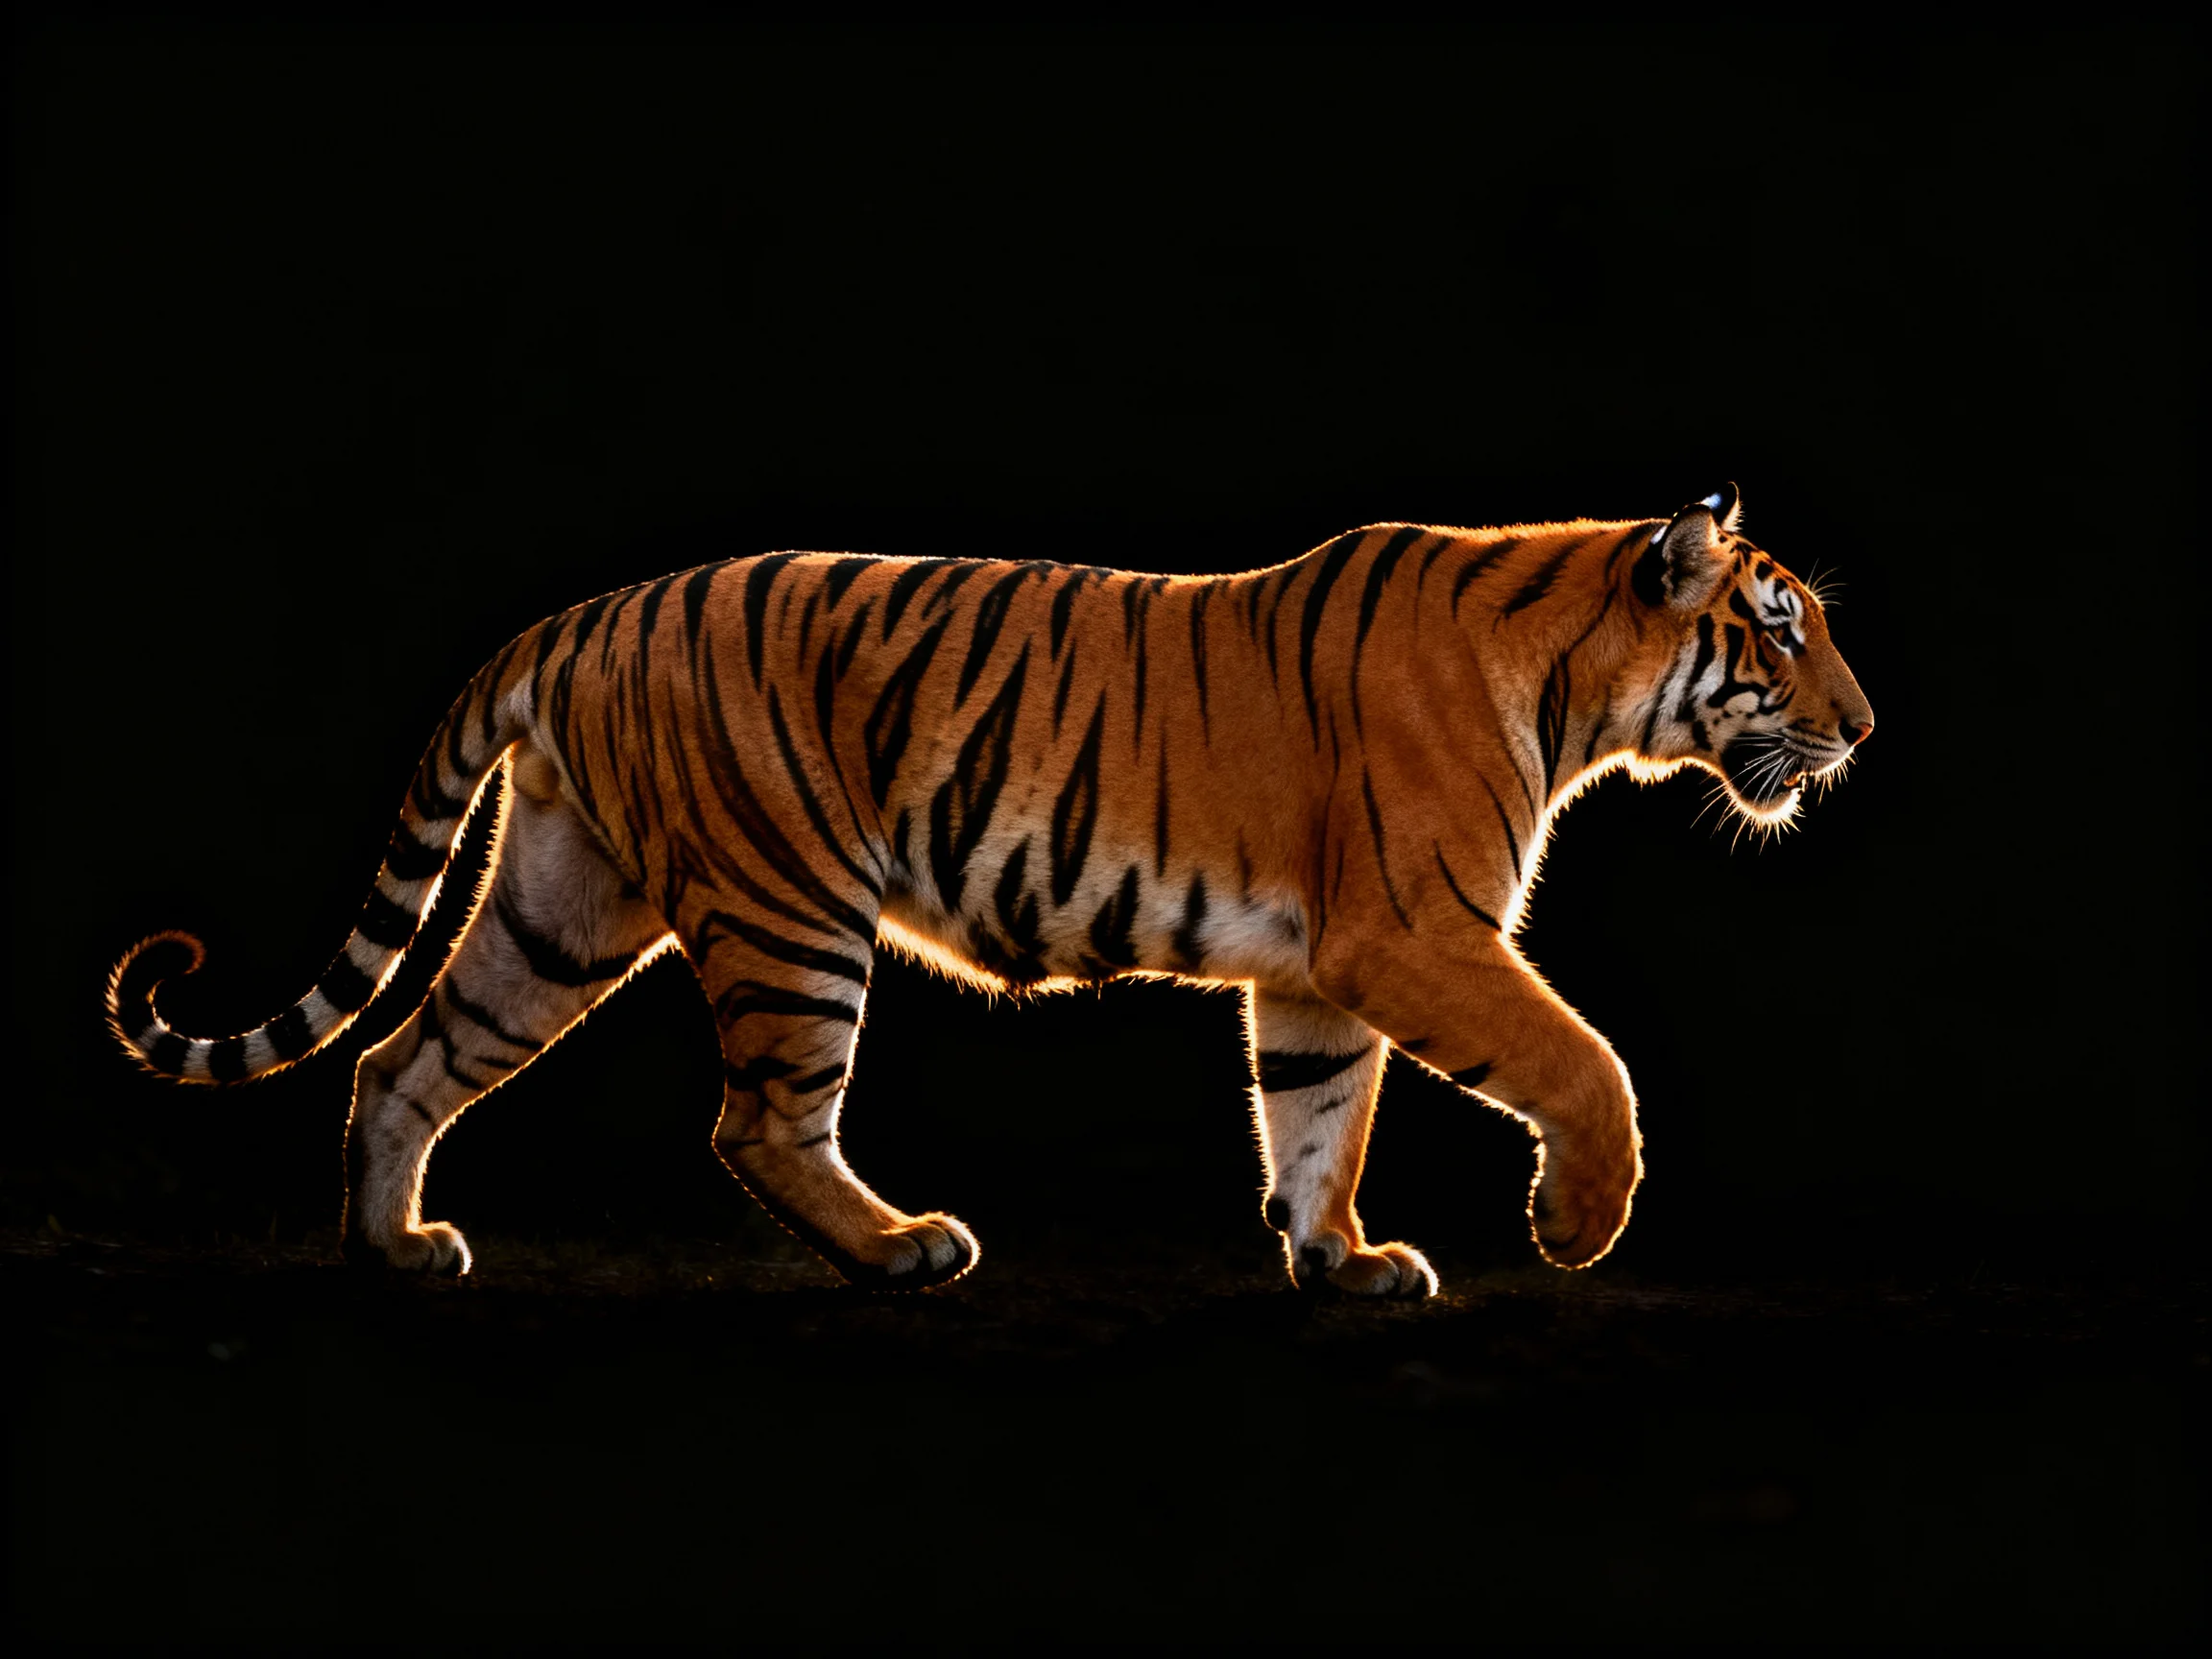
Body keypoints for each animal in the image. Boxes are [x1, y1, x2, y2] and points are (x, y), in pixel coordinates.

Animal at [107, 483, 1872, 1296]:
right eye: (1778, 627)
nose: (1862, 729)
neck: (1581, 681)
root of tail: (582, 615)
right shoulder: (1410, 931)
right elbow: (1584, 1062)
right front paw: (1578, 1224)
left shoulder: (1315, 967)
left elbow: (1315, 1117)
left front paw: (1338, 1263)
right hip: (790, 910)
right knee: (756, 1122)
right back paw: (902, 1249)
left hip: (560, 905)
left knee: (406, 1058)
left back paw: (392, 1249)